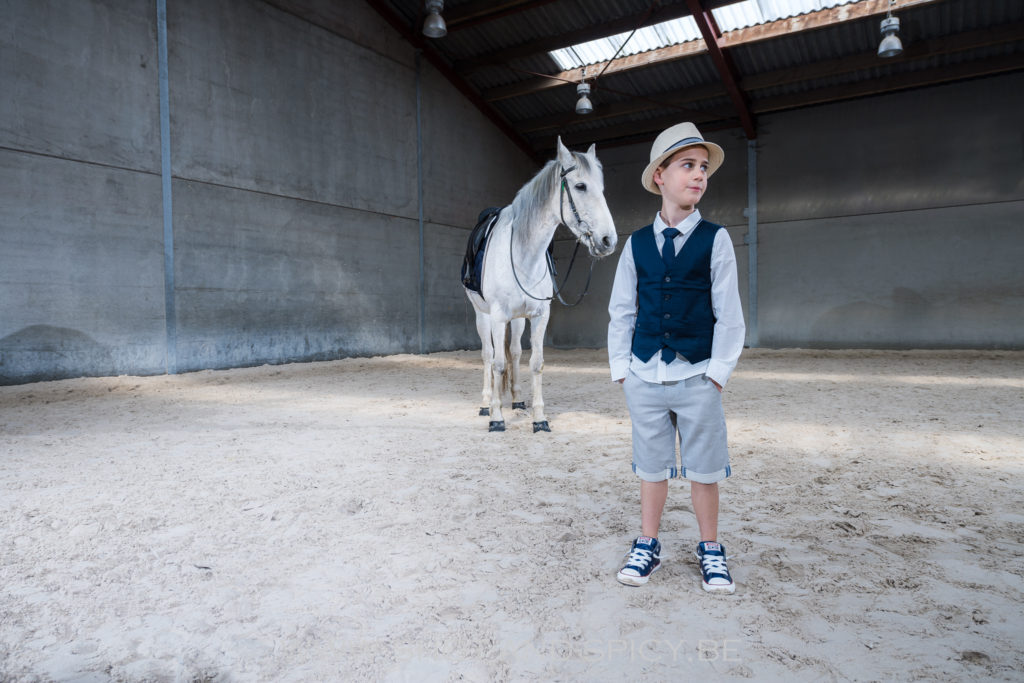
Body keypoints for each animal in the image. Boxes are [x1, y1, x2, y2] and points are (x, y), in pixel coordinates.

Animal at [464, 140, 614, 432]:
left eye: (602, 188)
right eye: (580, 186)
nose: (607, 240)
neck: (523, 254)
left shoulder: (539, 316)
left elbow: (535, 363)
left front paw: (539, 418)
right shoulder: (497, 316)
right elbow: (498, 364)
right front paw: (497, 418)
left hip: (517, 320)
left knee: (514, 353)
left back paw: (517, 400)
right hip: (482, 315)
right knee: (489, 355)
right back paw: (487, 404)